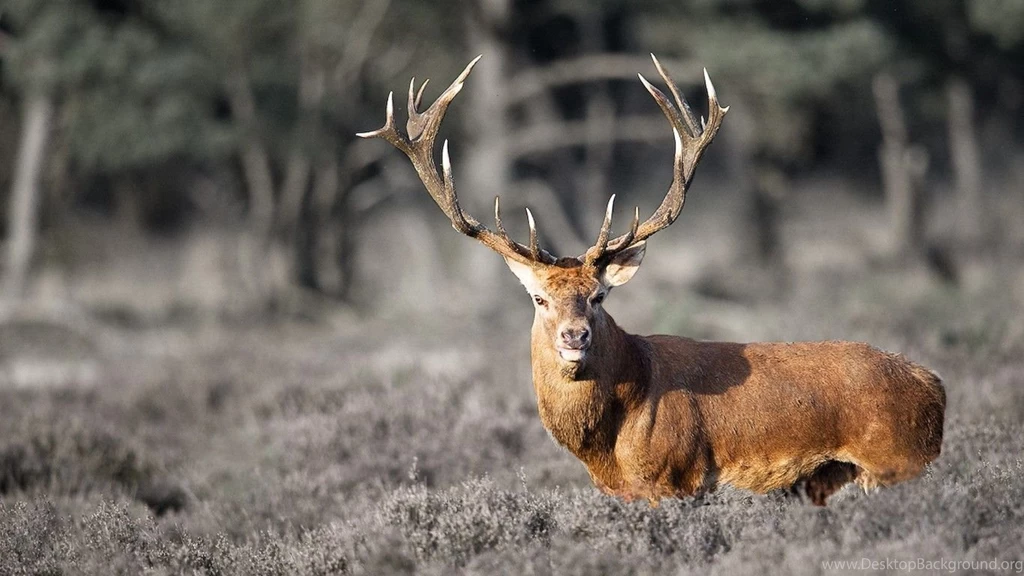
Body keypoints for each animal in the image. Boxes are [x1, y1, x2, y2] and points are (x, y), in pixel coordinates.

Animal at [358, 55, 946, 506]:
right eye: (539, 298)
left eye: (598, 296)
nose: (575, 336)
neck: (608, 446)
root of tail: (935, 387)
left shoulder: (674, 479)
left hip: (896, 460)